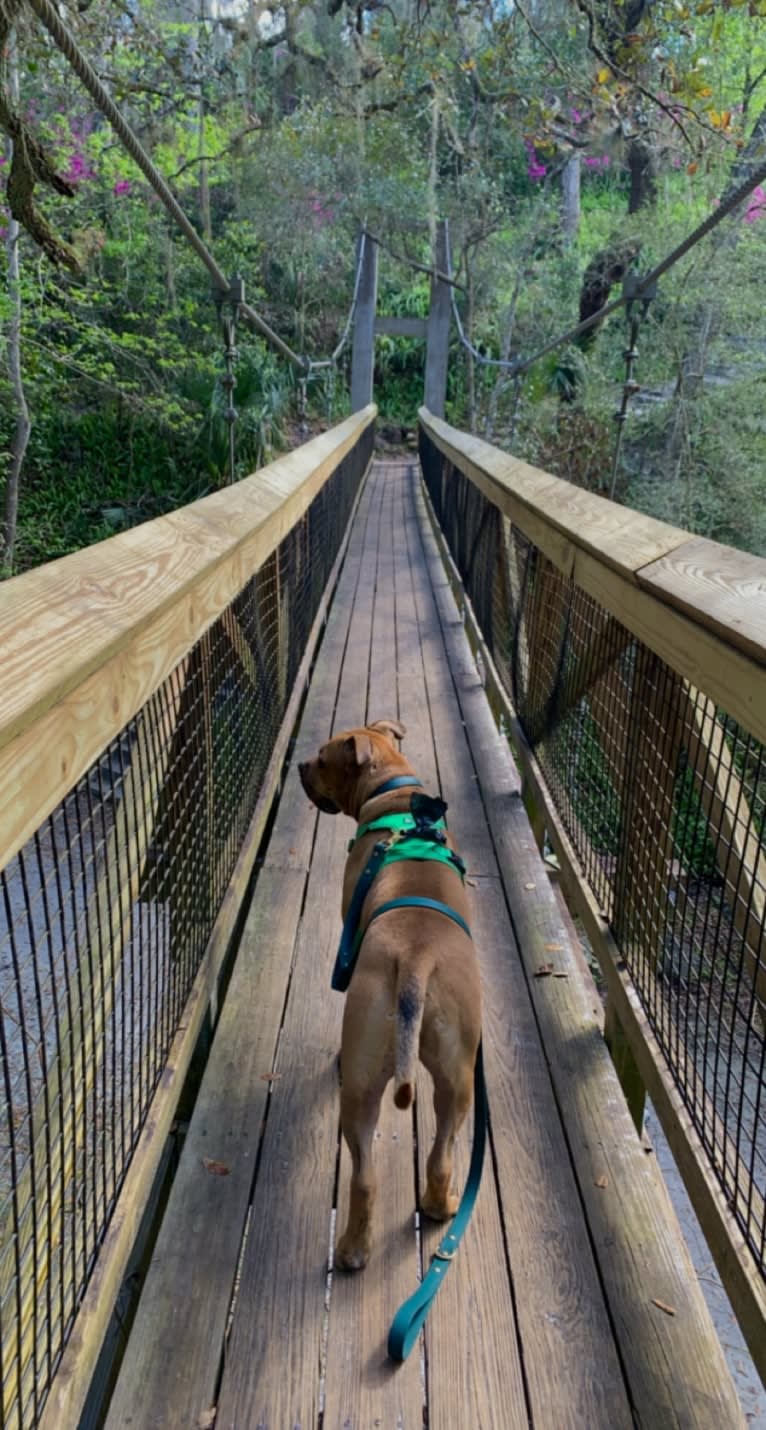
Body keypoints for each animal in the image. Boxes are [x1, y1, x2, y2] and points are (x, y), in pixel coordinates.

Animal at [297, 720, 480, 1269]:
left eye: (321, 759)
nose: (299, 765)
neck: (394, 790)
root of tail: (417, 957)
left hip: (365, 1078)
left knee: (367, 1174)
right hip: (451, 1078)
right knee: (429, 1160)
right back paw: (425, 1213)